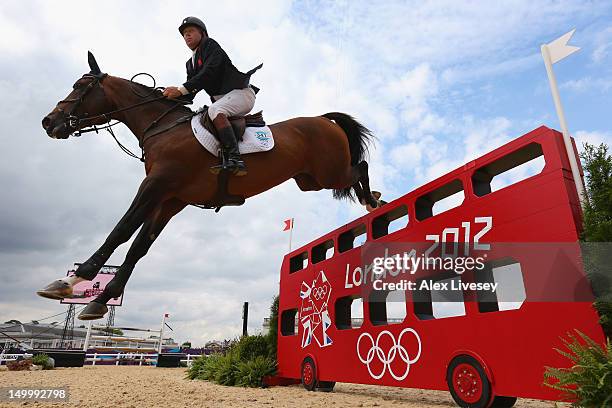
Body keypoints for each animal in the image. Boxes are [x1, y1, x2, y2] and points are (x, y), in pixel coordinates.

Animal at [38, 51, 380, 318]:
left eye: (80, 86)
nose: (48, 122)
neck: (163, 128)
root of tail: (323, 119)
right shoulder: (171, 199)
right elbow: (139, 247)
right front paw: (99, 298)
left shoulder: (155, 185)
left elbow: (121, 231)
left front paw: (73, 279)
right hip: (310, 181)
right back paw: (374, 199)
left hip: (329, 174)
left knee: (359, 168)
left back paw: (373, 201)